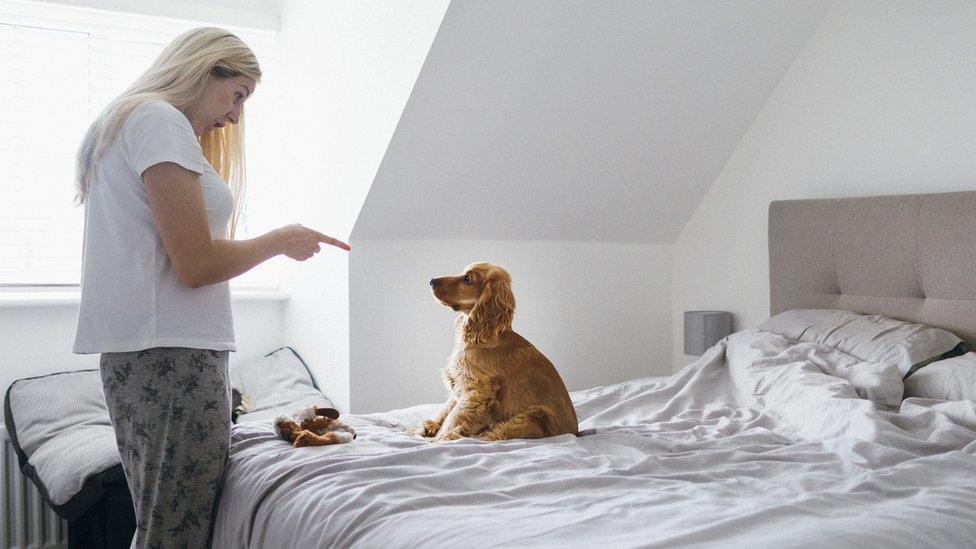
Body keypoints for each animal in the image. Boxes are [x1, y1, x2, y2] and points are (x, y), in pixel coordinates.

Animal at [410, 262, 580, 440]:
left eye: (467, 279)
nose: (431, 281)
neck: (482, 336)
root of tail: (575, 432)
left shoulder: (476, 389)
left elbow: (454, 417)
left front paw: (439, 439)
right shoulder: (459, 382)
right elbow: (448, 407)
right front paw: (428, 426)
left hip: (534, 417)